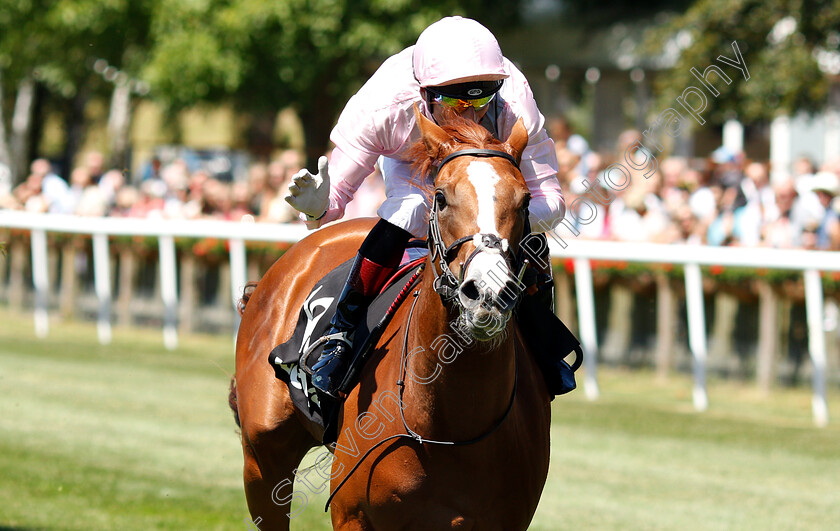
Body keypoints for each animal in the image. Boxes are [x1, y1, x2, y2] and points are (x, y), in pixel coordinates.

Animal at [235, 107, 552, 528]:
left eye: (525, 201)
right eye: (441, 197)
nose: (488, 292)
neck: (452, 426)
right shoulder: (353, 515)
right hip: (262, 460)